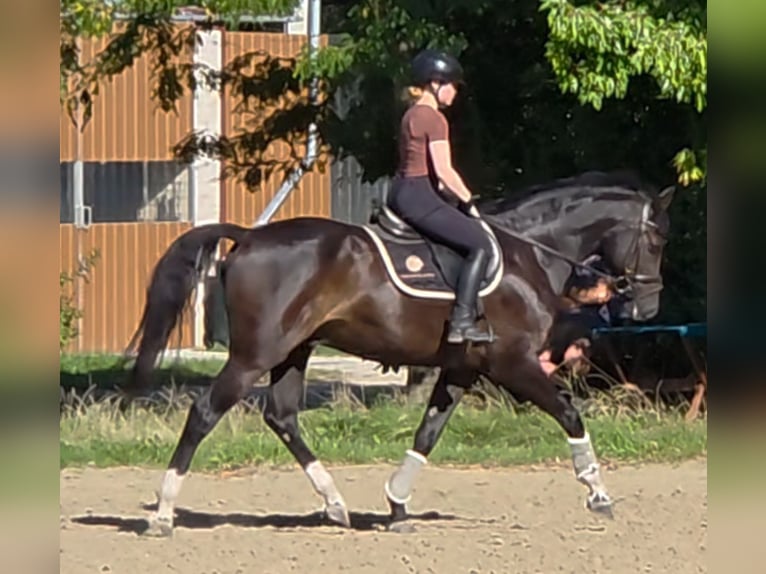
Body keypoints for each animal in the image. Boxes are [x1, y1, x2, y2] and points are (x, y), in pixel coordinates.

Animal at [126, 171, 675, 536]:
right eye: (656, 240)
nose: (648, 307)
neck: (531, 254)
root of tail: (250, 235)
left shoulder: (461, 369)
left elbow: (427, 434)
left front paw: (397, 506)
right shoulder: (513, 364)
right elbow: (569, 413)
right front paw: (598, 494)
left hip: (292, 351)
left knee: (281, 417)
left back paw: (336, 505)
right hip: (254, 356)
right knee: (205, 412)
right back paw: (164, 513)